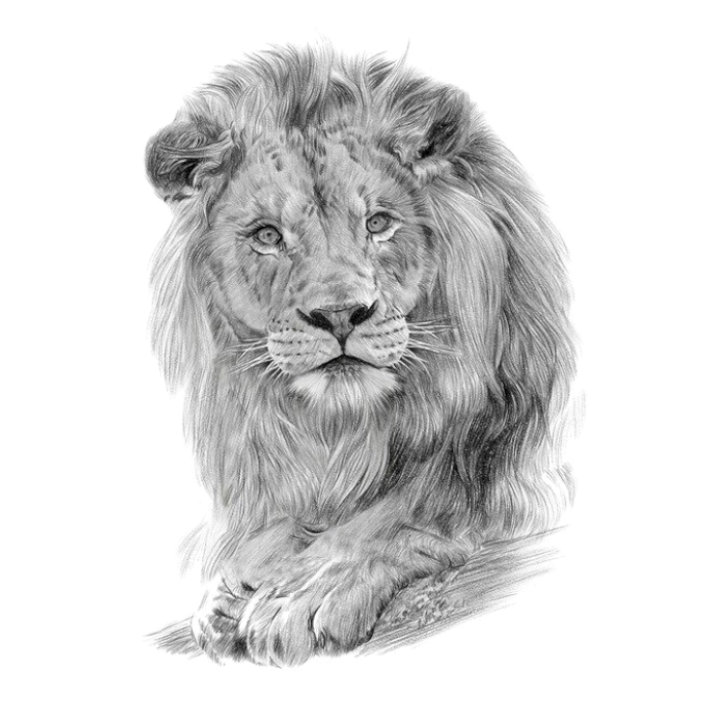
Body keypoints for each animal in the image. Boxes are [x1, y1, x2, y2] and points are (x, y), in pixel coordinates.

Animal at [145, 45, 575, 666]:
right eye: (267, 236)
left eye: (379, 223)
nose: (341, 314)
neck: (347, 428)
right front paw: (234, 581)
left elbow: (403, 511)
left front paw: (302, 592)